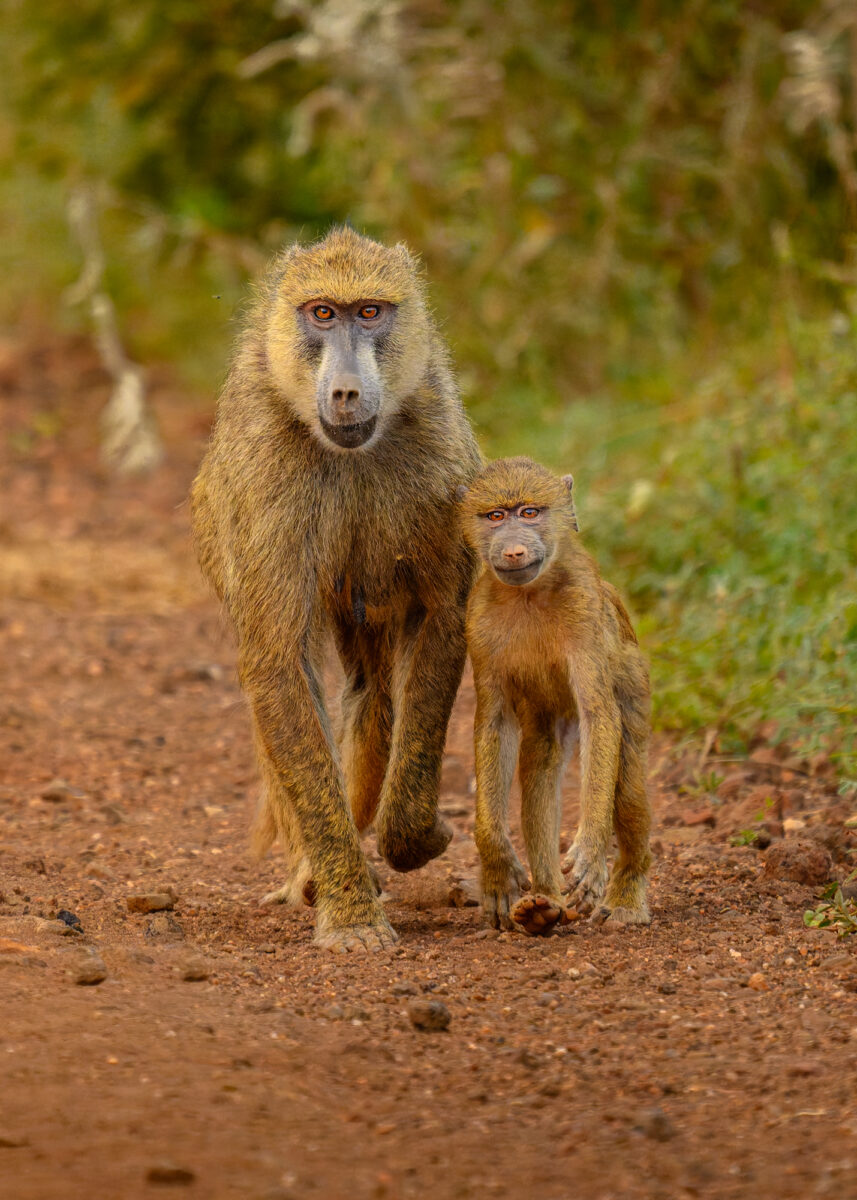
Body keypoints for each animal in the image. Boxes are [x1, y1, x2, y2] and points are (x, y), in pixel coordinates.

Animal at [191, 227, 482, 952]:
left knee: (371, 696)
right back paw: (312, 874)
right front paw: (349, 910)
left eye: (370, 312)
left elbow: (443, 618)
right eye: (322, 313)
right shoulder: (267, 478)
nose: (347, 392)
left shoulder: (438, 459)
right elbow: (278, 665)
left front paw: (413, 833)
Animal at [457, 457, 652, 935]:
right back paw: (545, 904)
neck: (530, 593)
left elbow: (599, 714)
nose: (512, 551)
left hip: (635, 687)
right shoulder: (477, 622)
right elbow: (494, 723)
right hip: (551, 719)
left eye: (530, 513)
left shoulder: (584, 610)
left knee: (627, 784)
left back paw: (625, 894)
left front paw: (591, 852)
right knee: (539, 768)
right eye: (495, 516)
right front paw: (497, 868)